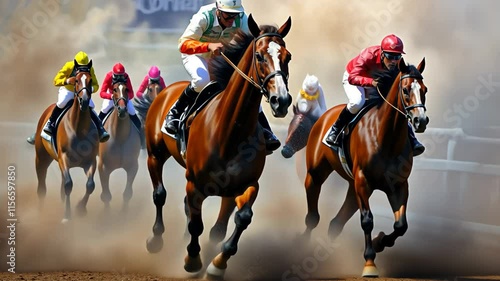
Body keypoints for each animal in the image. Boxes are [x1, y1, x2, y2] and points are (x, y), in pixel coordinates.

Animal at [34, 63, 99, 221]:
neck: (79, 128)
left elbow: (90, 185)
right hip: (41, 158)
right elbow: (69, 185)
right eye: (76, 80)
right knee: (42, 188)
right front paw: (67, 216)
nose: (84, 101)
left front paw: (80, 208)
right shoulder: (63, 158)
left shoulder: (90, 160)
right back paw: (40, 213)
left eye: (90, 80)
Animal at [97, 80, 141, 211]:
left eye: (127, 89)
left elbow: (127, 194)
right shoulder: (103, 167)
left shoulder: (133, 166)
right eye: (114, 89)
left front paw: (124, 213)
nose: (122, 109)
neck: (120, 138)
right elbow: (106, 196)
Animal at [144, 14, 292, 278]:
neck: (230, 132)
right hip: (154, 154)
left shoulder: (245, 184)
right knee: (159, 194)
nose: (281, 100)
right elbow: (196, 224)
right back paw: (156, 240)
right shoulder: (194, 183)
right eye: (259, 56)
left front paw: (217, 264)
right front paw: (192, 261)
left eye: (288, 56)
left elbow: (237, 221)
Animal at [302, 58, 428, 276]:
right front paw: (369, 262)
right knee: (312, 215)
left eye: (425, 90)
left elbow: (401, 225)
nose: (421, 121)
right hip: (316, 173)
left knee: (336, 224)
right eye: (405, 90)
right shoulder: (363, 180)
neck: (386, 137)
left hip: (353, 190)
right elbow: (367, 220)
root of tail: (325, 115)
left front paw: (380, 242)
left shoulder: (399, 184)